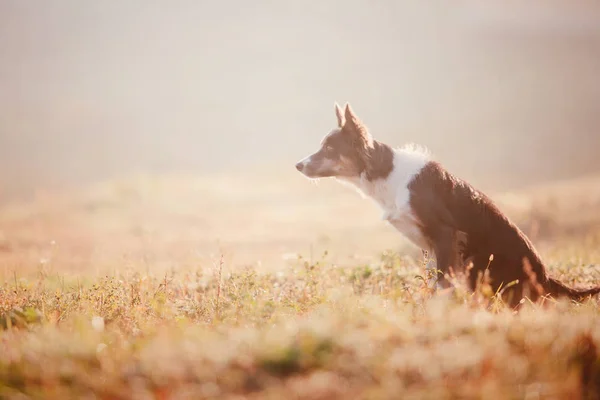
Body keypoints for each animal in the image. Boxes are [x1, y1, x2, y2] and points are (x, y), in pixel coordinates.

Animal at [296, 103, 600, 306]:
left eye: (329, 149)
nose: (298, 165)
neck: (385, 173)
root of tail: (545, 277)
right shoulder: (430, 245)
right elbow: (435, 279)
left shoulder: (444, 233)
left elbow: (442, 282)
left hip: (483, 264)